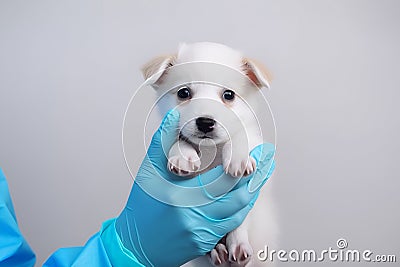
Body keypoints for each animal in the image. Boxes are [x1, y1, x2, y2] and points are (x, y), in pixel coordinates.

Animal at [141, 42, 276, 267]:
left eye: (229, 95)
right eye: (184, 93)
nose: (205, 122)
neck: (210, 149)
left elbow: (240, 135)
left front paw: (237, 156)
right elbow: (179, 139)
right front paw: (183, 157)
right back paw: (217, 252)